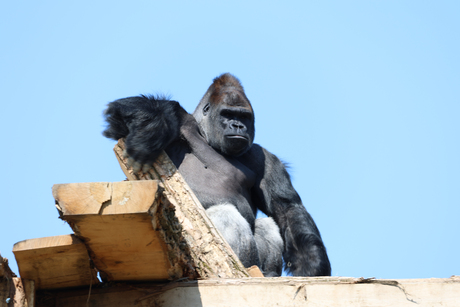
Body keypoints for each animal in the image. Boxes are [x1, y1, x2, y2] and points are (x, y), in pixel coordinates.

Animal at [103, 73, 330, 278]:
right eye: (227, 114)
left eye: (244, 117)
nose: (238, 126)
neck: (208, 138)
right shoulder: (180, 118)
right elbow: (124, 113)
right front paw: (149, 132)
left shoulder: (265, 158)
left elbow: (287, 208)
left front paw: (312, 265)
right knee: (224, 212)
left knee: (266, 223)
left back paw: (267, 272)